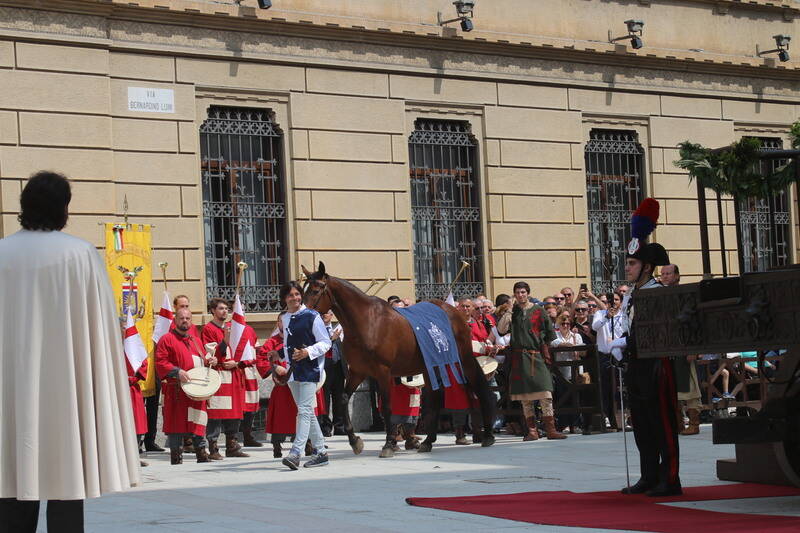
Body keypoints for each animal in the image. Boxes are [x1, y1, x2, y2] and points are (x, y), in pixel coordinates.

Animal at [301, 262, 496, 457]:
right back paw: (428, 441)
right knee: (436, 397)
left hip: (463, 359)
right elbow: (342, 399)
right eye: (303, 289)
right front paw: (355, 441)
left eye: (316, 290)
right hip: (430, 365)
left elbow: (387, 406)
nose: (301, 314)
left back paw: (487, 435)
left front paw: (388, 444)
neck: (368, 322)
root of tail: (454, 312)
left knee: (479, 386)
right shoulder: (358, 371)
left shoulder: (383, 372)